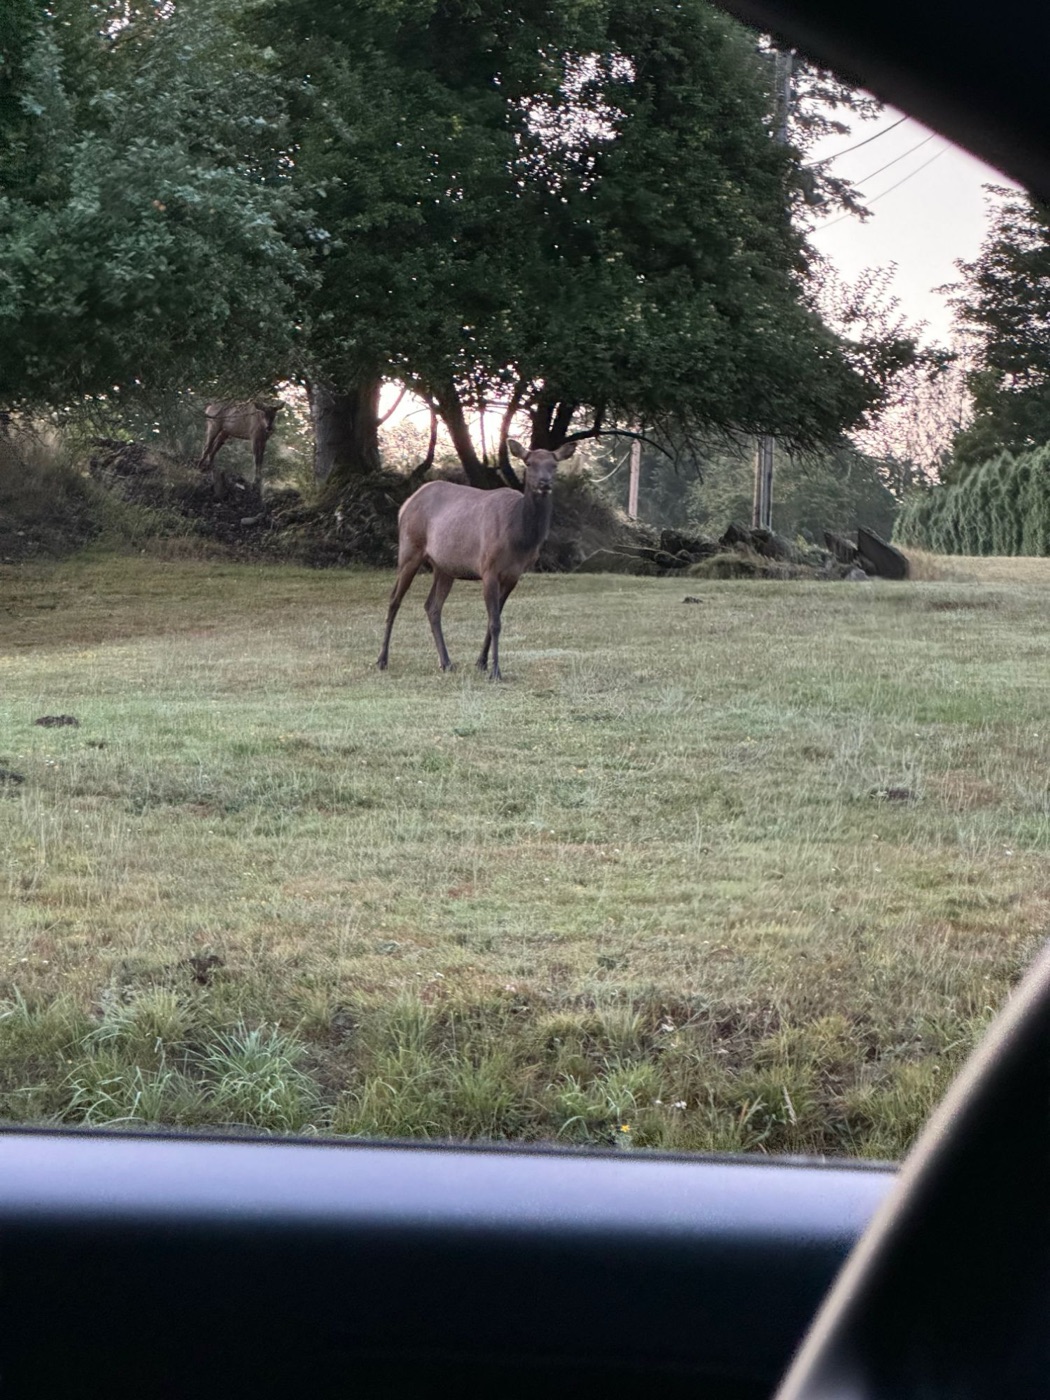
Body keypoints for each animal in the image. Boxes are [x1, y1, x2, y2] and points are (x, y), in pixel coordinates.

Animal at [377, 439, 576, 681]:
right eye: (529, 463)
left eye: (554, 465)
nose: (544, 482)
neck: (519, 538)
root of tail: (404, 506)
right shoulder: (488, 568)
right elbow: (495, 623)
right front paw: (495, 671)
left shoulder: (514, 575)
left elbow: (494, 618)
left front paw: (482, 663)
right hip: (409, 550)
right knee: (394, 599)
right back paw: (382, 660)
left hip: (444, 566)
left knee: (432, 606)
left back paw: (446, 662)